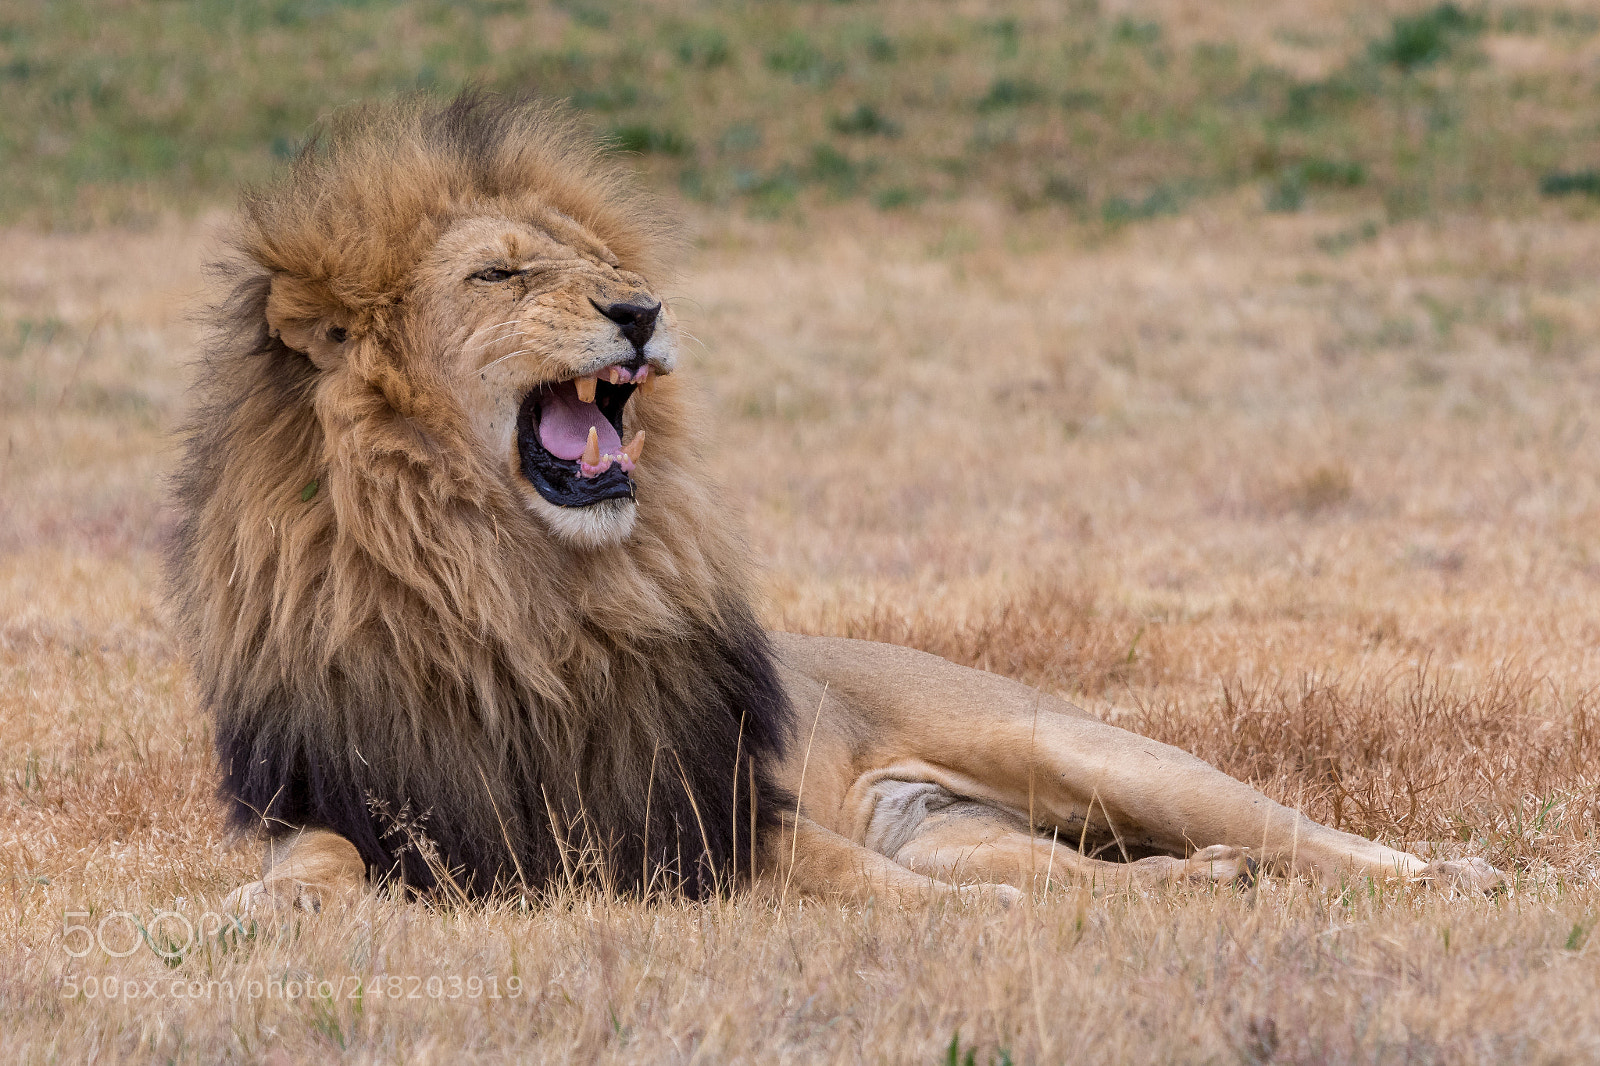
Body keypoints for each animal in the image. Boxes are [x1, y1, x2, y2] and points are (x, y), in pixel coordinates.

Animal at [166, 93, 1502, 914]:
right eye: (499, 273)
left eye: (602, 267)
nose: (639, 308)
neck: (501, 586)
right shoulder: (359, 799)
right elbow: (319, 853)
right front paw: (258, 905)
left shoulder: (711, 811)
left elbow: (855, 880)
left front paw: (969, 920)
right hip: (970, 819)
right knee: (1104, 876)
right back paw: (1202, 883)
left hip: (1090, 749)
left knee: (1300, 832)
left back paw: (1447, 875)